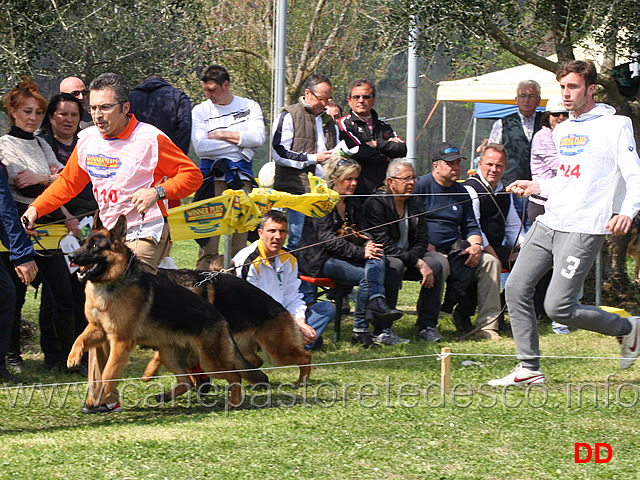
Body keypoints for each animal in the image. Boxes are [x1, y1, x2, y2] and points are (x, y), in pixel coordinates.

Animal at [65, 217, 264, 408]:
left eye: (94, 247)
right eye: (83, 243)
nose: (70, 256)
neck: (113, 282)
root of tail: (221, 318)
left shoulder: (120, 342)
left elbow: (108, 373)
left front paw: (100, 397)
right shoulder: (98, 329)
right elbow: (79, 339)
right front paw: (73, 358)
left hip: (210, 361)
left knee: (235, 375)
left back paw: (234, 402)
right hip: (169, 355)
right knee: (187, 381)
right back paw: (164, 396)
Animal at [144, 268, 314, 388]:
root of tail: (283, 308)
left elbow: (161, 354)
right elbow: (161, 354)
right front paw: (150, 372)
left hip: (276, 351)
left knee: (306, 356)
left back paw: (301, 381)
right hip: (240, 345)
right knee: (254, 360)